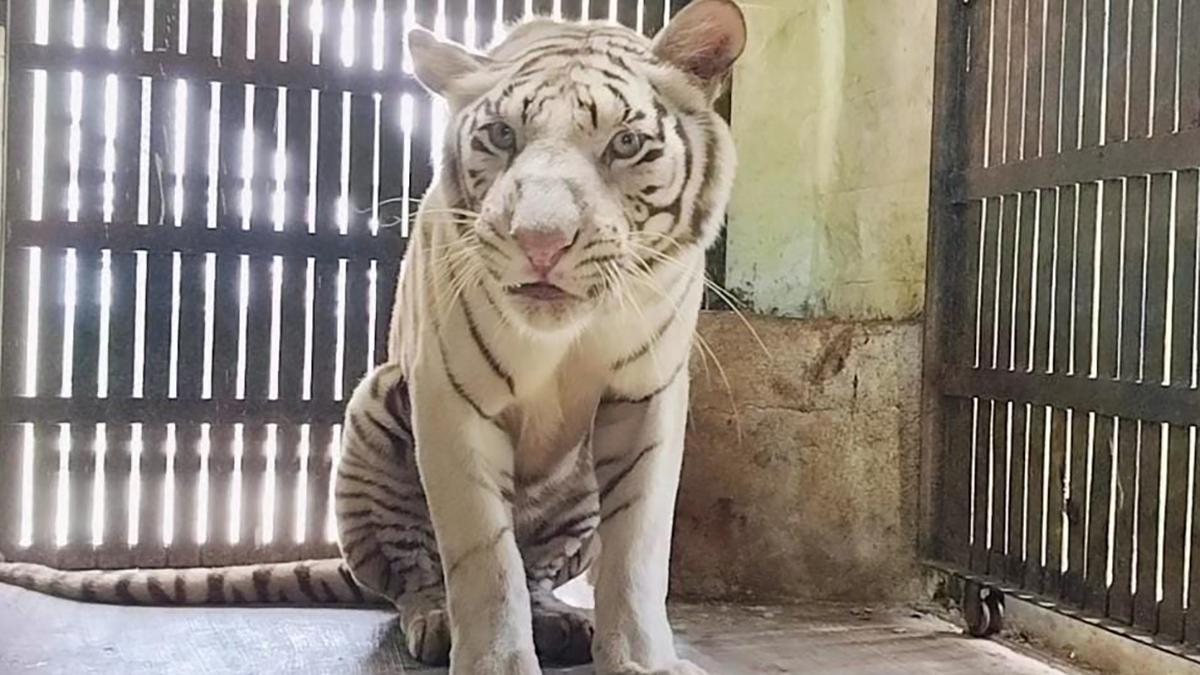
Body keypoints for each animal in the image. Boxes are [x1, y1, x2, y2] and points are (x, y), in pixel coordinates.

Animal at [0, 2, 744, 667]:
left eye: (626, 144)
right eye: (502, 136)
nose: (540, 243)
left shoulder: (646, 395)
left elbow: (635, 551)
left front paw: (642, 660)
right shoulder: (450, 395)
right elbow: (484, 560)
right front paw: (494, 658)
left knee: (534, 573)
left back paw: (558, 620)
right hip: (377, 405)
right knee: (413, 576)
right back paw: (436, 620)